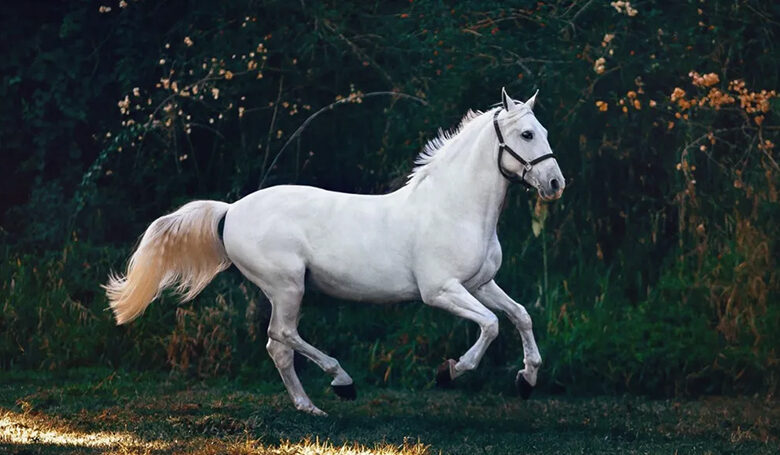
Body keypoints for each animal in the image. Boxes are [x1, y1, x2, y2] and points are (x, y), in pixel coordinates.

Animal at [105, 88, 565, 415]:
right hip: (287, 286)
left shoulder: (481, 283)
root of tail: (230, 210)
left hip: (286, 290)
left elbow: (520, 315)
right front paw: (450, 371)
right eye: (527, 134)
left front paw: (527, 380)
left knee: (278, 346)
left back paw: (310, 407)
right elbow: (491, 325)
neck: (454, 208)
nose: (555, 184)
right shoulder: (441, 291)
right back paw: (341, 382)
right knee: (282, 336)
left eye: (544, 132)